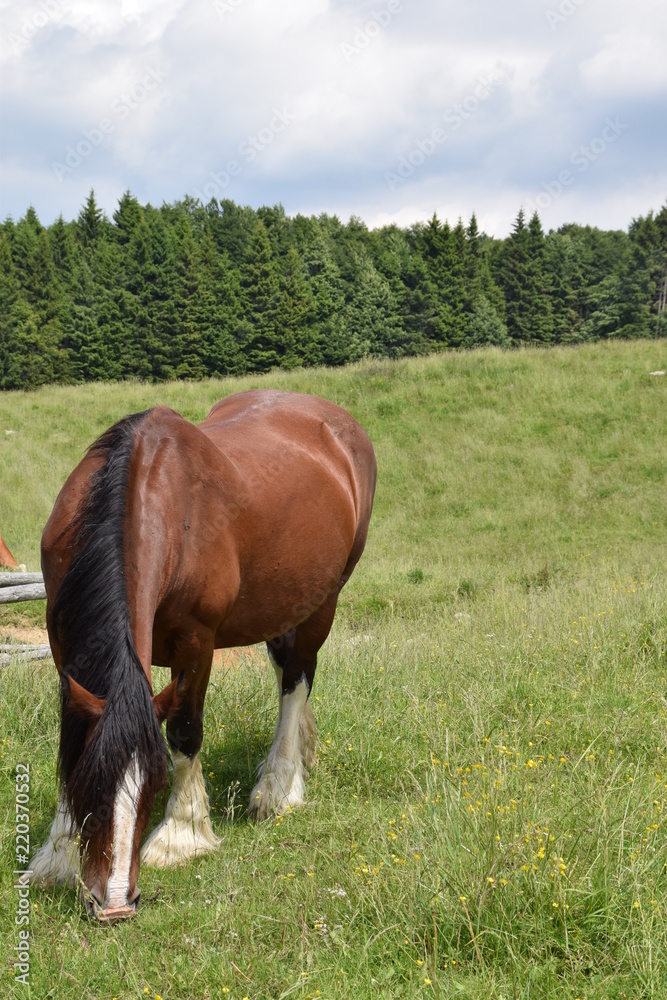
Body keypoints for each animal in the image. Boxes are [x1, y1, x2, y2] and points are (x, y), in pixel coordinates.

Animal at [30, 389, 376, 921]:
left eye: (153, 790)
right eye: (91, 789)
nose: (115, 905)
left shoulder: (196, 642)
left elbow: (185, 732)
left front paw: (181, 834)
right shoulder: (61, 640)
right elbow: (72, 740)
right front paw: (59, 854)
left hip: (324, 600)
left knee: (297, 679)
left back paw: (280, 785)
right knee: (286, 669)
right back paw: (297, 755)